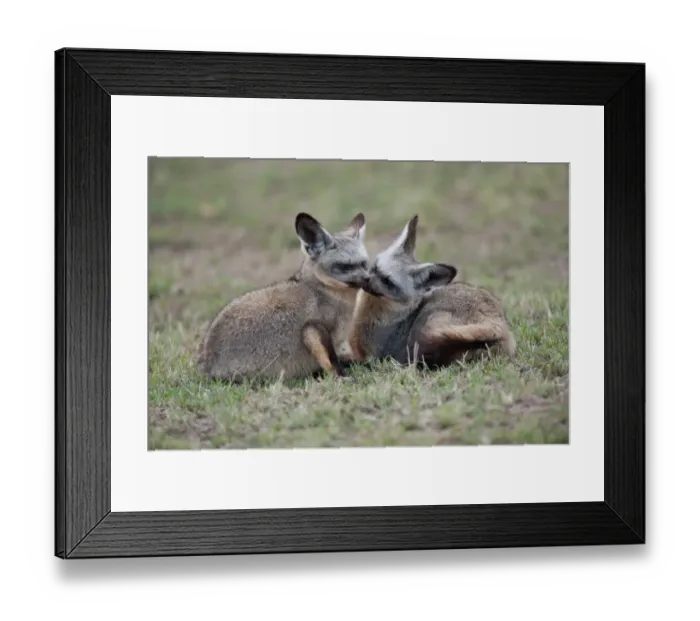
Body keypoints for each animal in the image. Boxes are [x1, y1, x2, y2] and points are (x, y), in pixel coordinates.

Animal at [196, 212, 370, 383]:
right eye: (345, 266)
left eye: (364, 264)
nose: (368, 279)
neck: (321, 291)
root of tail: (205, 366)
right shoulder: (312, 329)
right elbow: (331, 361)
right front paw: (340, 376)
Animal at [347, 214, 516, 369]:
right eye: (375, 268)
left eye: (388, 281)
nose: (364, 280)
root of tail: (498, 324)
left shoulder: (374, 357)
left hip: (427, 326)